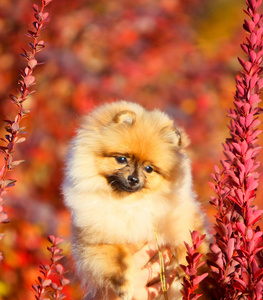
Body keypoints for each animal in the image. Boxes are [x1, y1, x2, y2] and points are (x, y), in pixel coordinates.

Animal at [63, 101, 209, 300]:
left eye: (149, 169)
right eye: (121, 159)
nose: (133, 179)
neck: (129, 204)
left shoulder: (183, 220)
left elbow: (187, 240)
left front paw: (184, 266)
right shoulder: (92, 244)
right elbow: (117, 255)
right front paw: (123, 284)